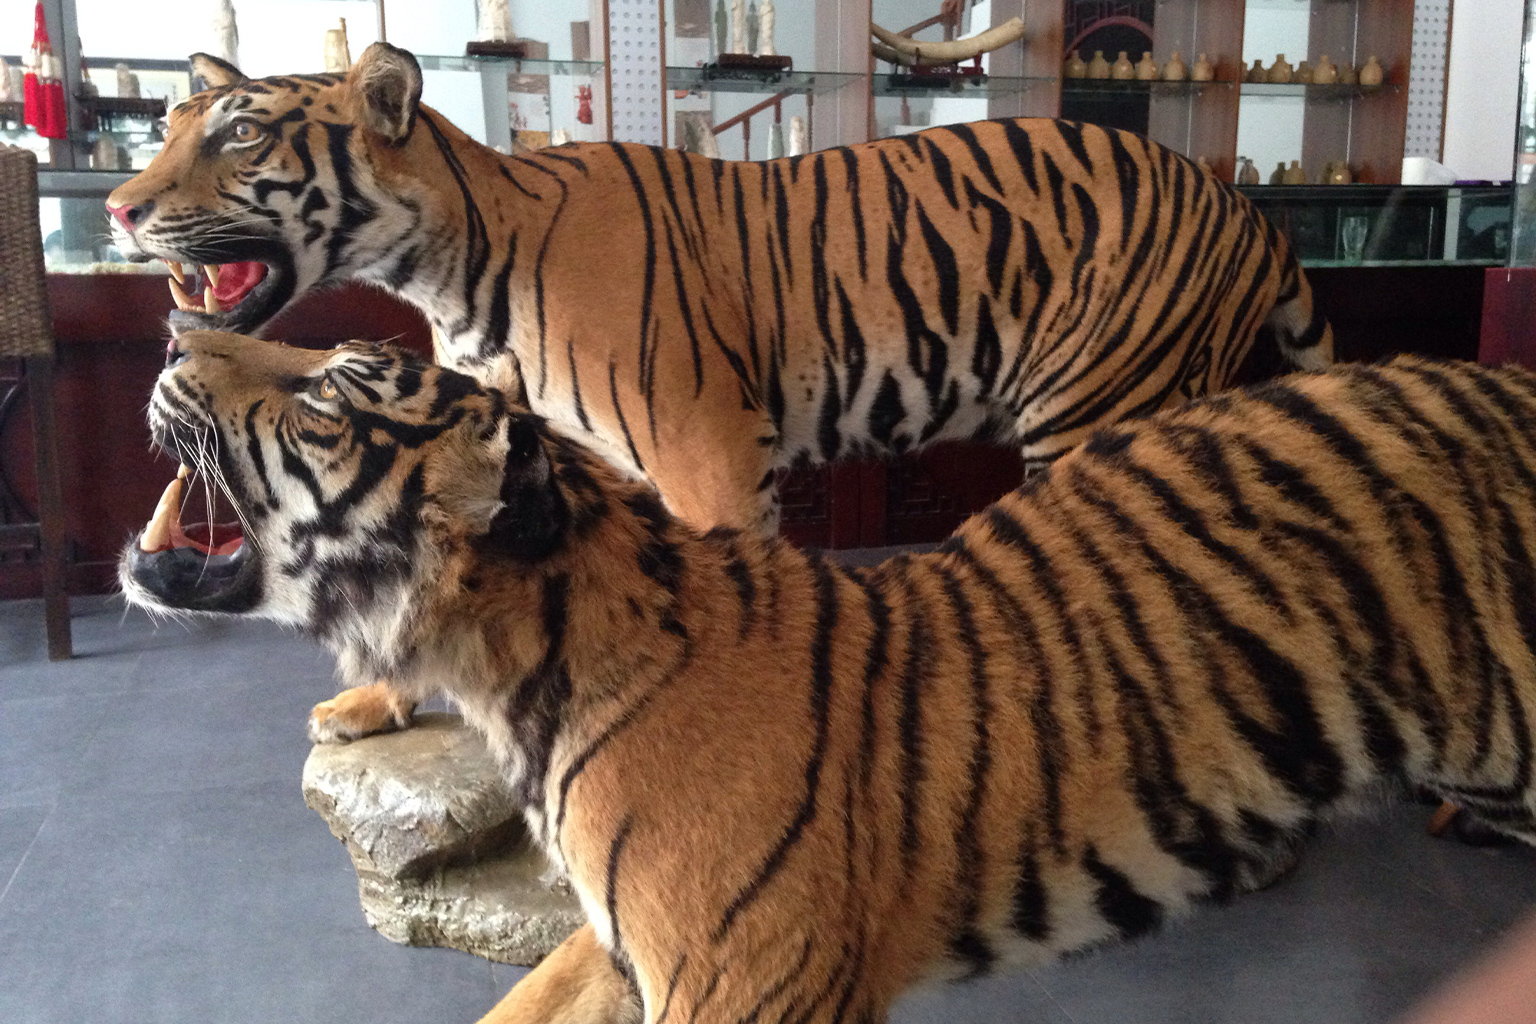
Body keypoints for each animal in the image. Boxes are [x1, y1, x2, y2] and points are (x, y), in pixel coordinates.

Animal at [111, 44, 1333, 739]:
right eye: (169, 129)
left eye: (242, 135)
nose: (120, 208)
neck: (447, 264)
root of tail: (1249, 211)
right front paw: (377, 703)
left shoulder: (707, 451)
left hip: (1096, 404)